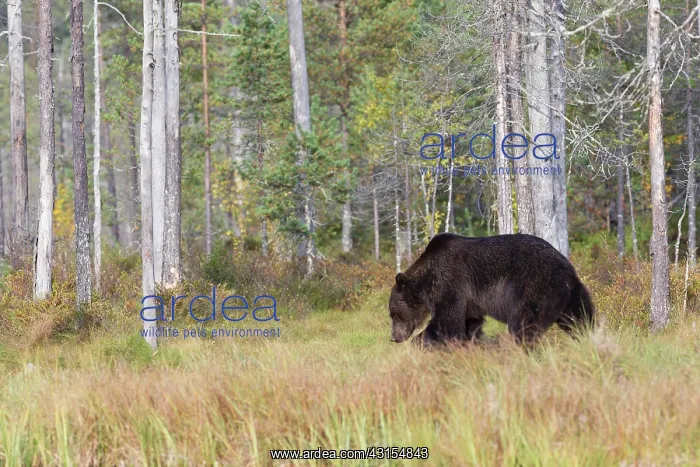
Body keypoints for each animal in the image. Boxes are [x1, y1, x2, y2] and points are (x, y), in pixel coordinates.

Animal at [388, 233, 595, 346]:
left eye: (394, 314)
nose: (394, 338)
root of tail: (566, 269)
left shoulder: (449, 282)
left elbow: (446, 322)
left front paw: (420, 342)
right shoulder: (469, 301)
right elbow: (469, 323)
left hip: (534, 286)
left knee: (524, 324)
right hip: (571, 294)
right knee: (580, 319)